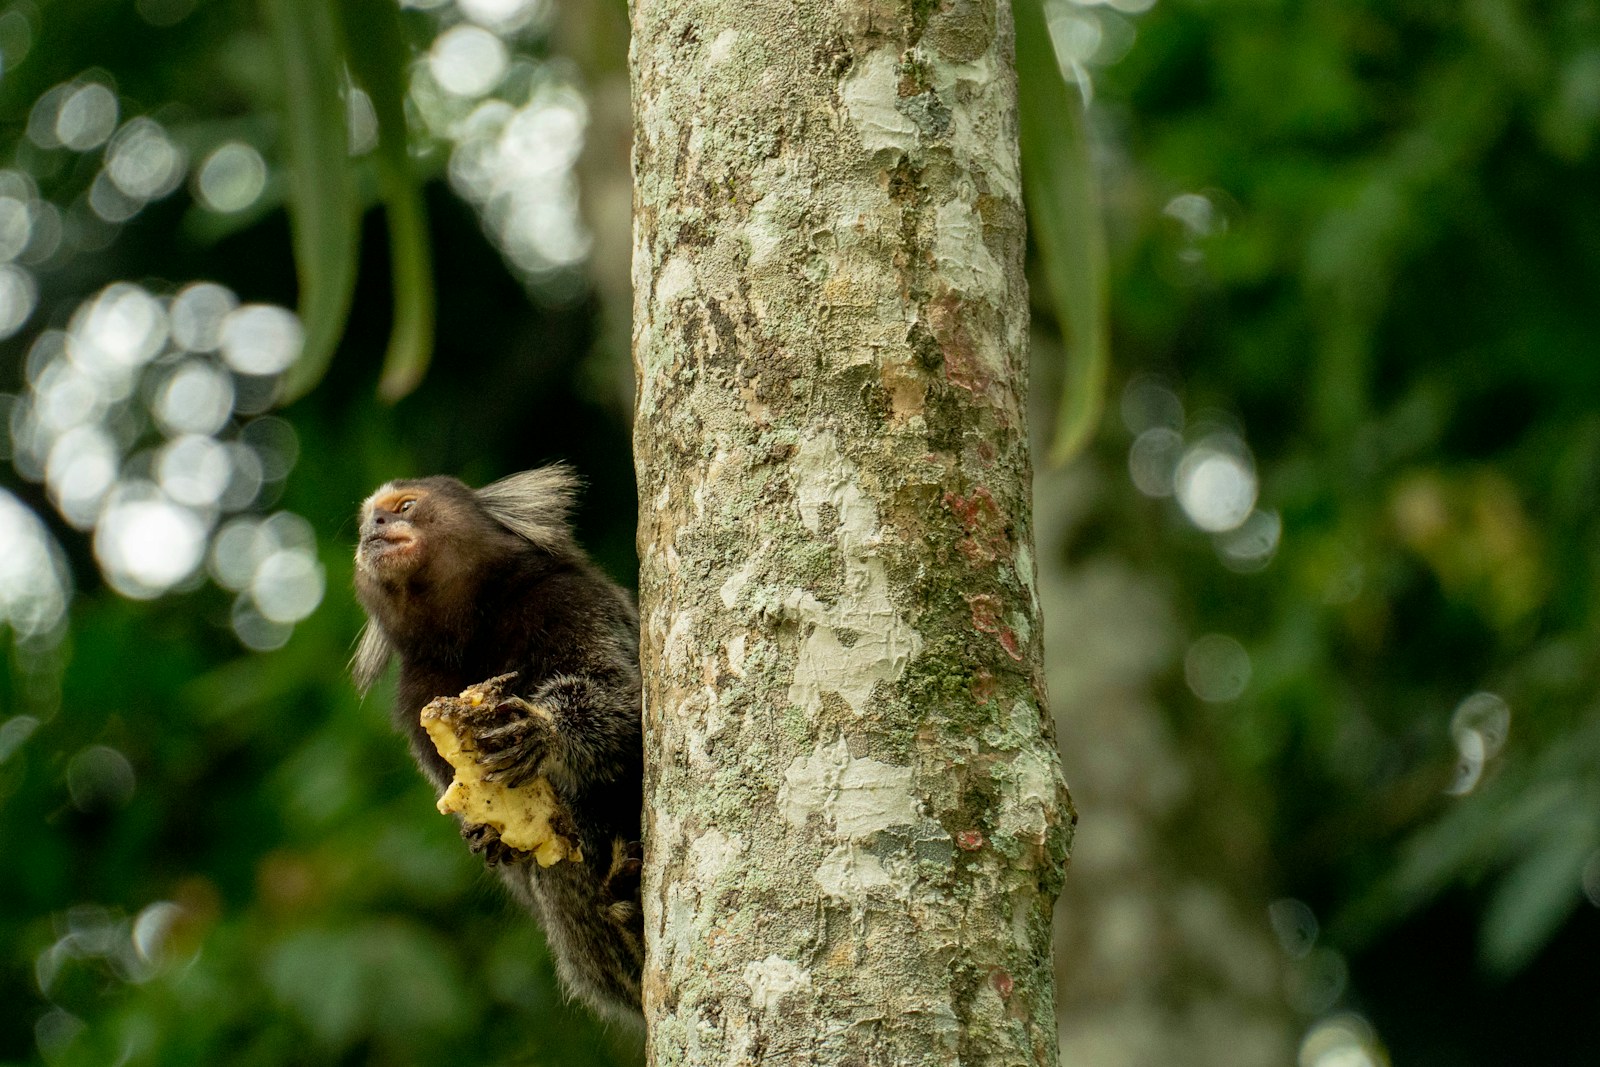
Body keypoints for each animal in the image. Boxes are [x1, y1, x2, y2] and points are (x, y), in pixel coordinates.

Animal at [350, 466, 644, 1023]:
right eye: (365, 524)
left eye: (403, 507)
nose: (373, 528)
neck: (472, 630)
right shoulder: (418, 694)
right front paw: (487, 833)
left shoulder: (570, 600)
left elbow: (621, 700)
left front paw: (544, 732)